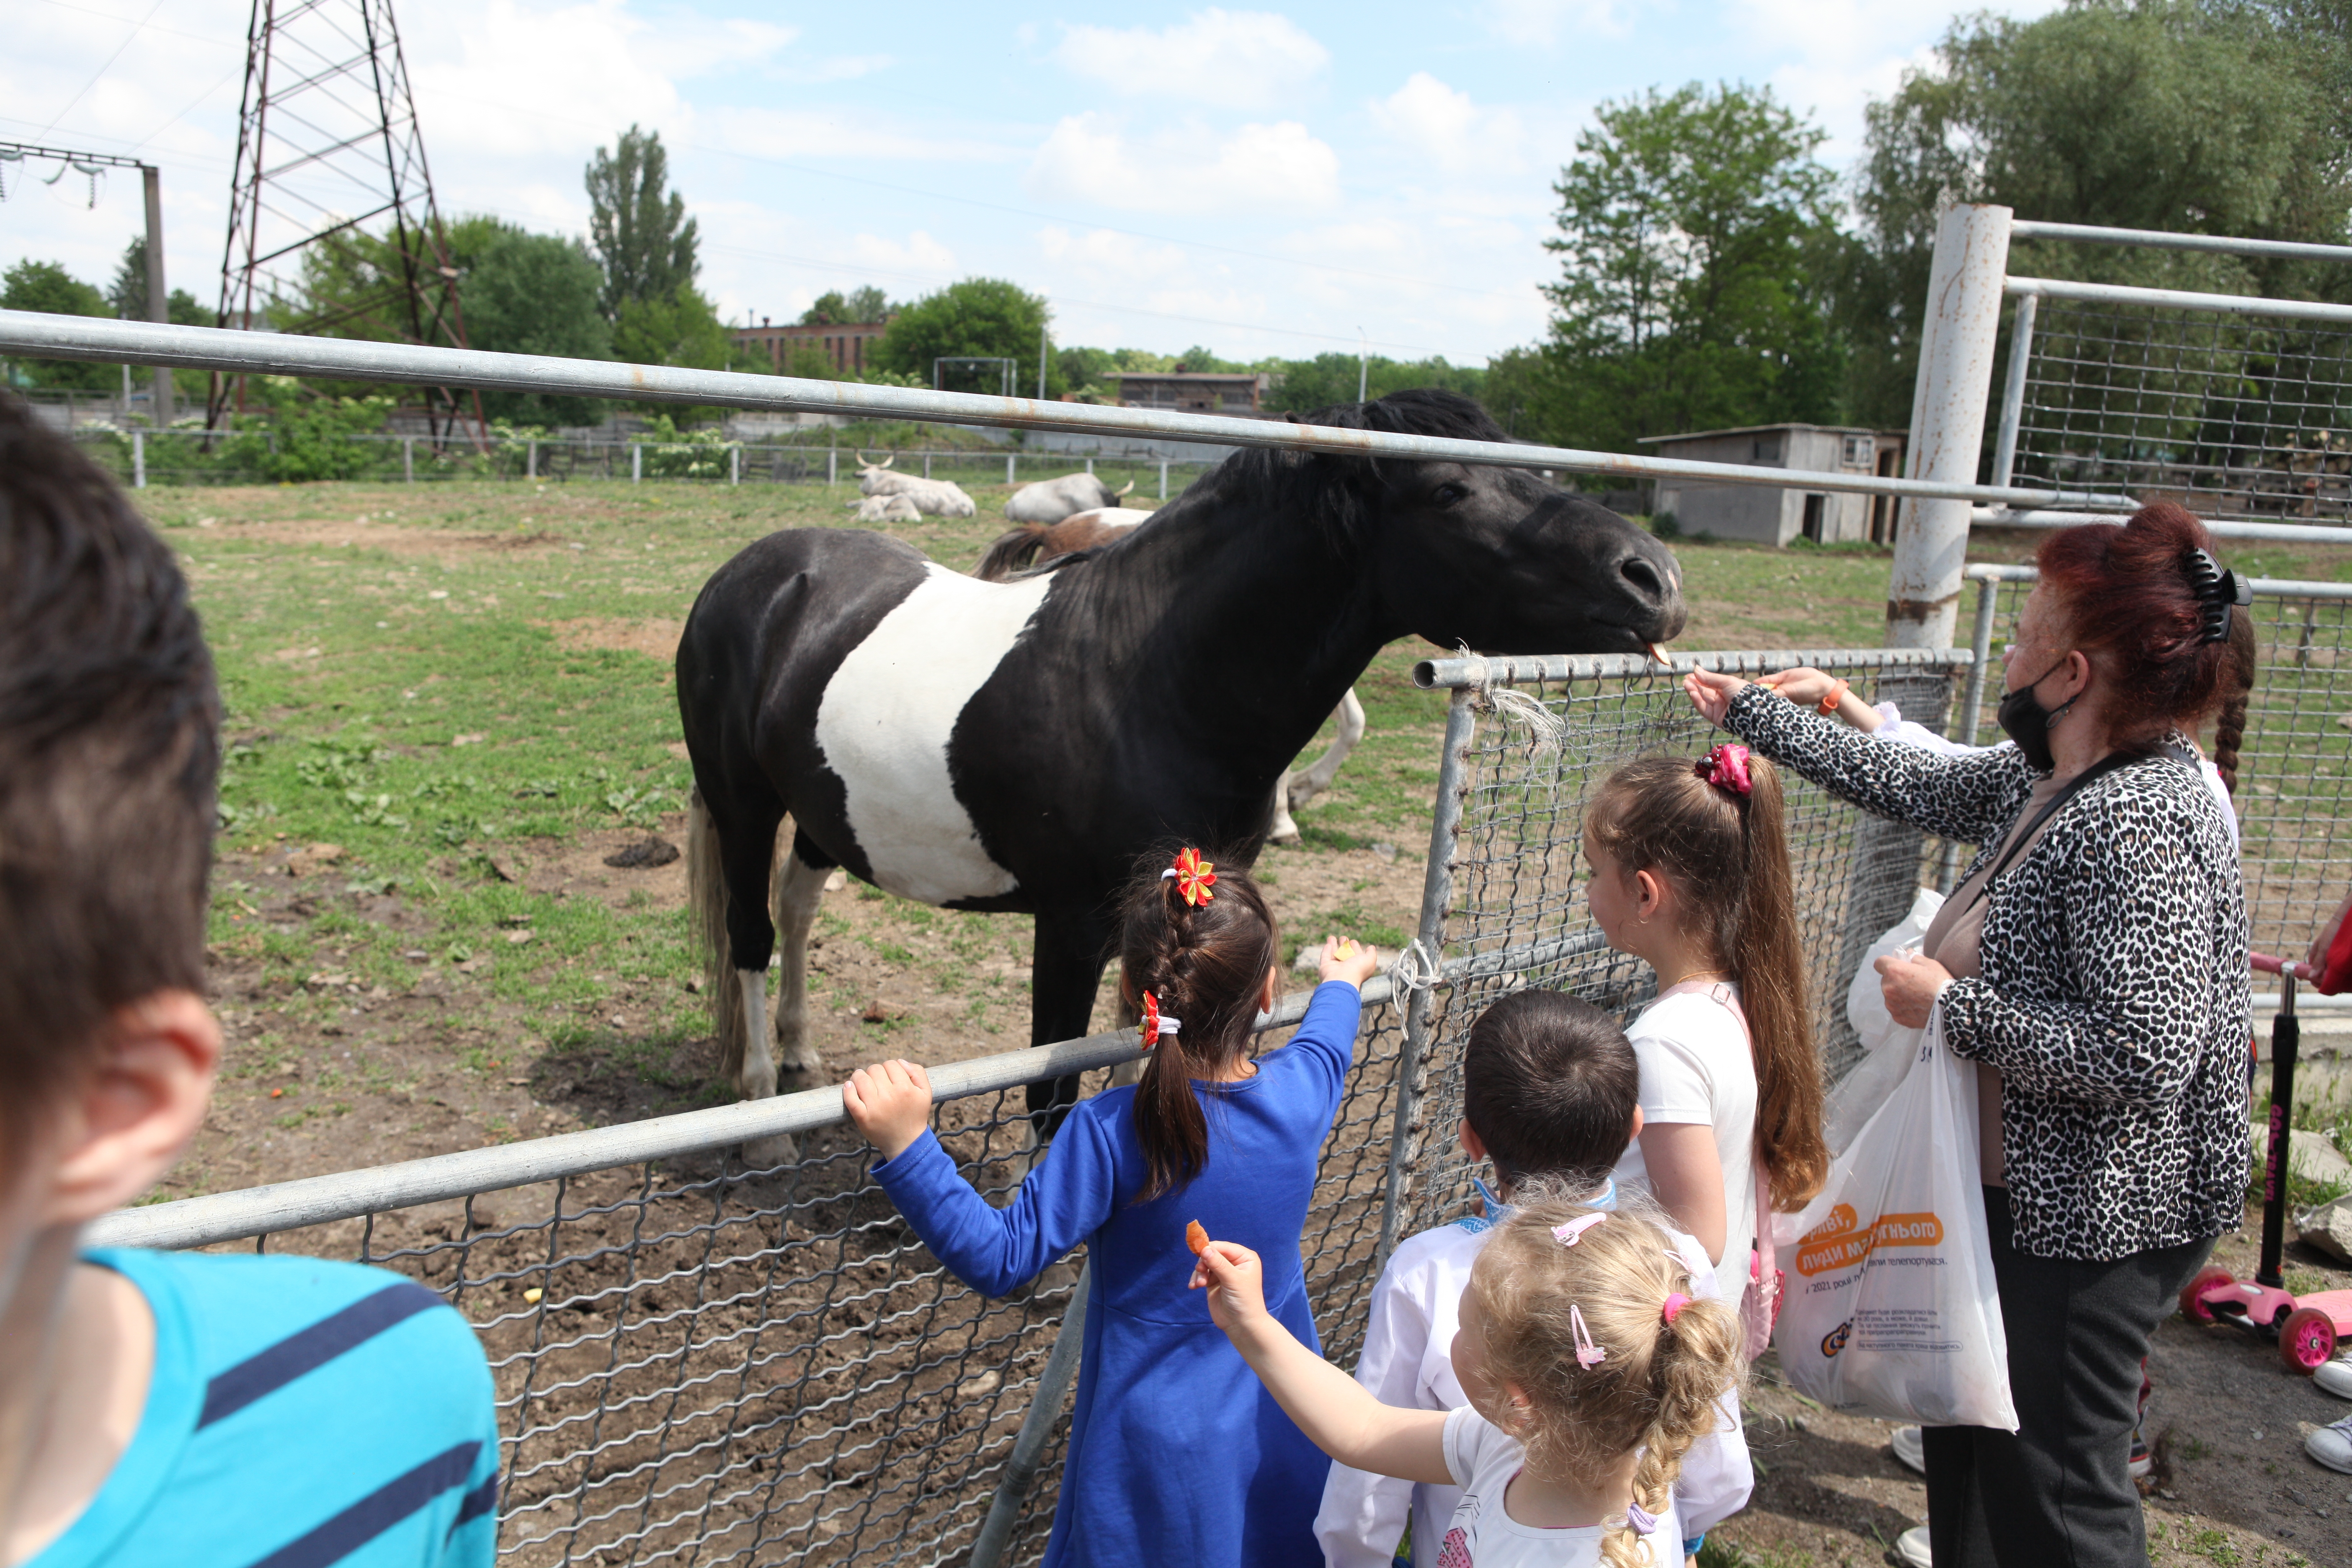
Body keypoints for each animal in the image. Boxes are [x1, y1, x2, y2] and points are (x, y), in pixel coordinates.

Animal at [673, 390, 1684, 1147]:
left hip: (823, 809)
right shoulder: (1071, 925)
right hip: (742, 802)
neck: (1143, 679)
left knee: (799, 906)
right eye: (1445, 489)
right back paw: (761, 1107)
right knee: (752, 934)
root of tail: (759, 570)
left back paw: (801, 1057)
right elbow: (1052, 1082)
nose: (1656, 579)